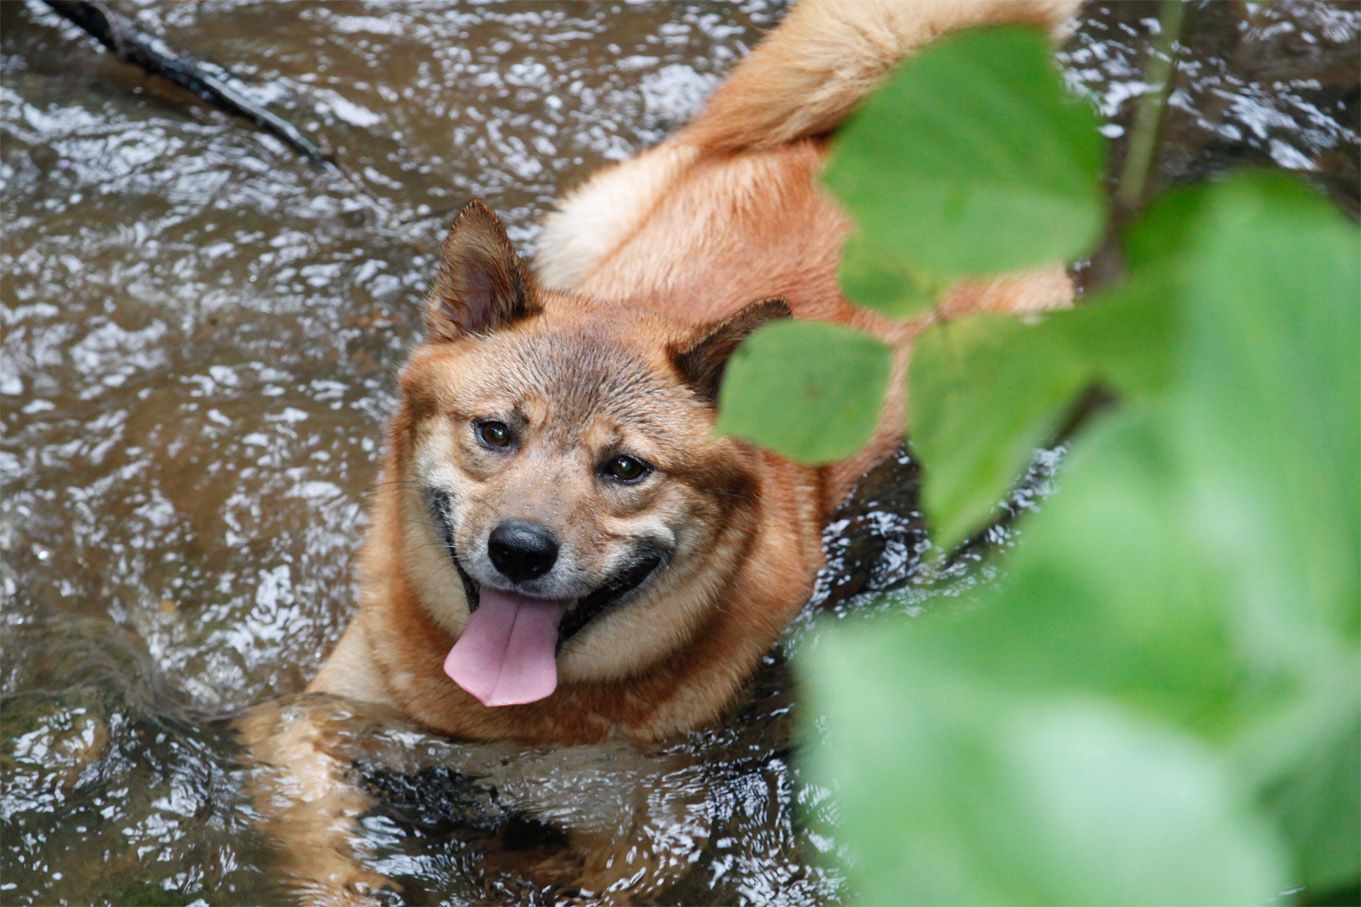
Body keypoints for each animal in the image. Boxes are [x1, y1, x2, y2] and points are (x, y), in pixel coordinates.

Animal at [239, 0, 1077, 893]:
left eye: (625, 468)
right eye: (495, 432)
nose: (520, 548)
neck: (489, 713)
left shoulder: (644, 828)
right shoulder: (305, 724)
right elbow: (324, 851)